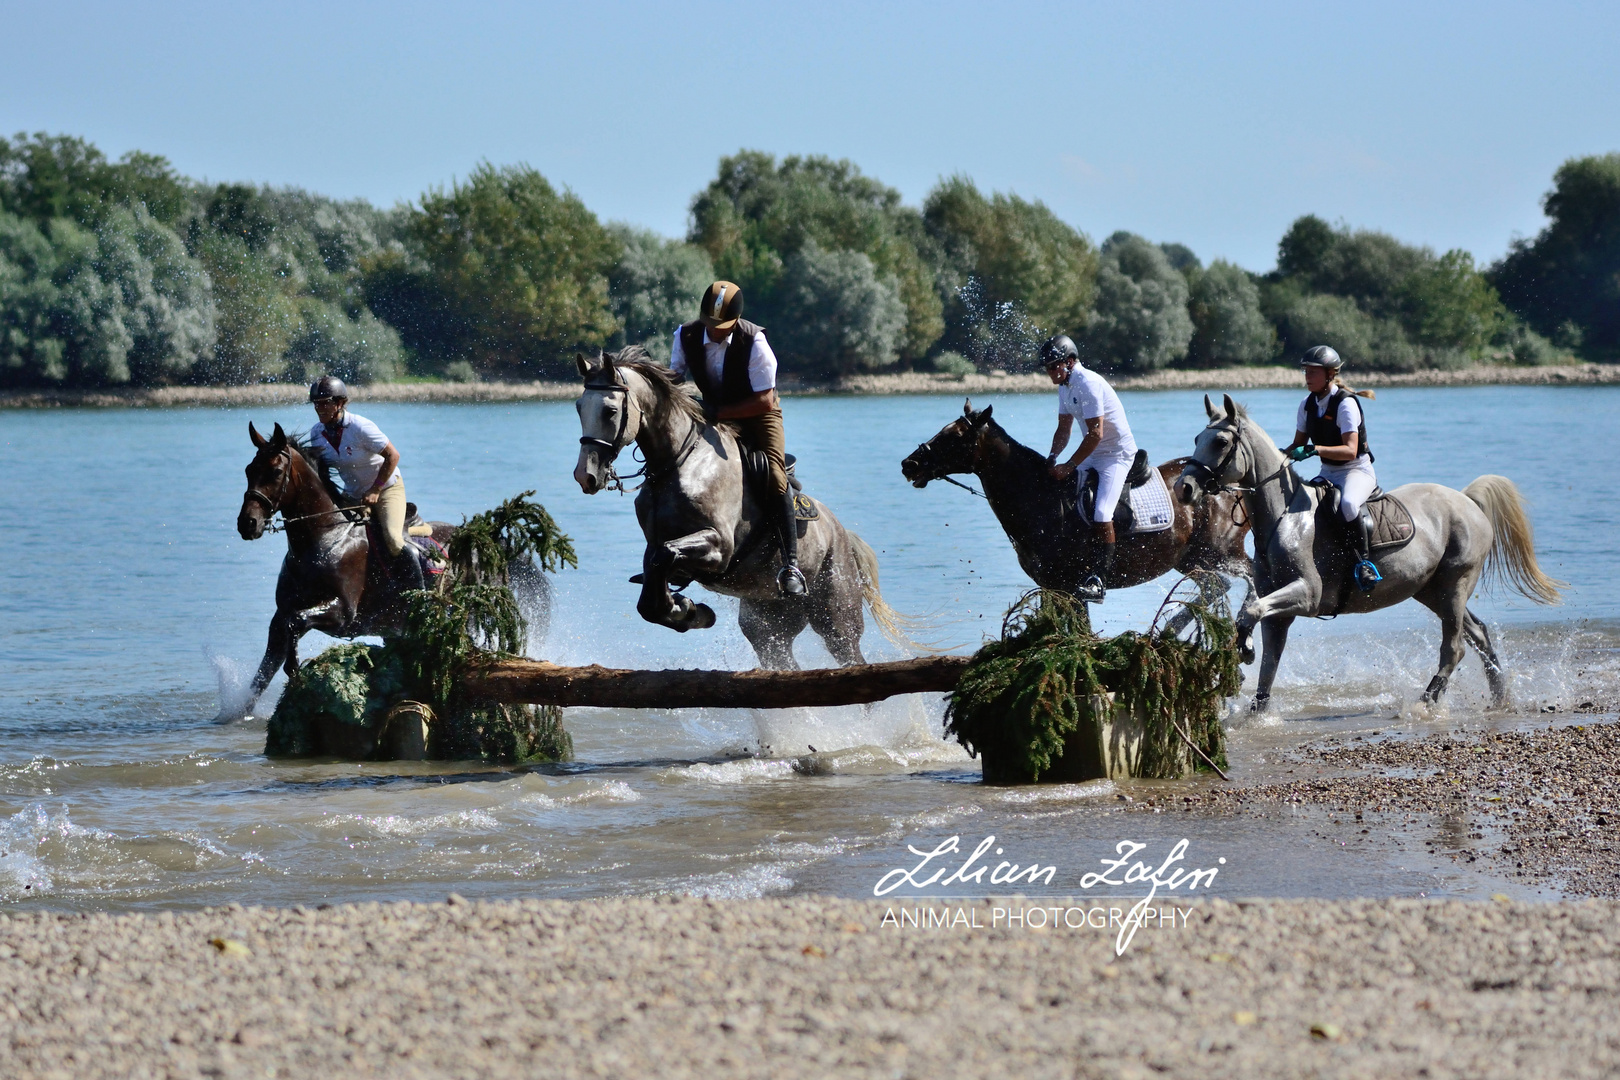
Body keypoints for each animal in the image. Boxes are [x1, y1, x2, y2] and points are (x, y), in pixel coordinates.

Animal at [573, 346, 907, 667]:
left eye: (609, 411)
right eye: (578, 407)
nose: (585, 476)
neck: (678, 462)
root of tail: (842, 534)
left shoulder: (719, 546)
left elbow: (666, 555)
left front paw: (687, 609)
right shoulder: (655, 546)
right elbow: (651, 592)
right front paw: (688, 610)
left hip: (836, 617)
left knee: (850, 655)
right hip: (768, 623)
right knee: (782, 659)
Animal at [900, 404, 1250, 608]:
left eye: (955, 436)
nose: (909, 464)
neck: (1041, 499)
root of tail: (1231, 484)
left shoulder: (1069, 586)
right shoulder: (1051, 587)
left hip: (1222, 553)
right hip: (1192, 560)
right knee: (1215, 588)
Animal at [1172, 393, 1561, 712]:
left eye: (1221, 441)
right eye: (1197, 439)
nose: (1183, 488)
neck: (1283, 517)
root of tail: (1466, 500)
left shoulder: (1307, 595)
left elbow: (1251, 612)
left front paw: (1245, 648)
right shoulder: (1279, 609)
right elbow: (1267, 656)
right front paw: (1255, 696)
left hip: (1455, 583)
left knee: (1455, 647)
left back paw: (1426, 702)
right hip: (1431, 590)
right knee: (1477, 635)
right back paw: (1499, 698)